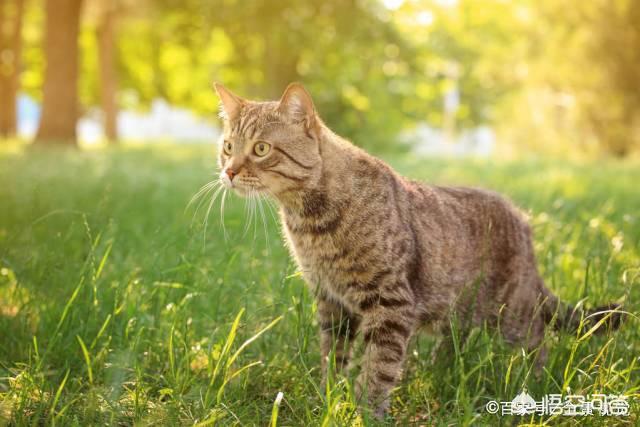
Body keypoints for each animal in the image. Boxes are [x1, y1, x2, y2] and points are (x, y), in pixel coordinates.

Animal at [212, 81, 624, 418]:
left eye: (261, 149)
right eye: (228, 147)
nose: (229, 171)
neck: (310, 221)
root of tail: (522, 222)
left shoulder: (390, 302)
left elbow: (378, 369)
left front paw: (363, 413)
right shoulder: (331, 302)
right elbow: (334, 357)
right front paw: (328, 398)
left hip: (513, 314)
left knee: (538, 342)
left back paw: (533, 384)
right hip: (459, 312)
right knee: (457, 343)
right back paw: (443, 372)